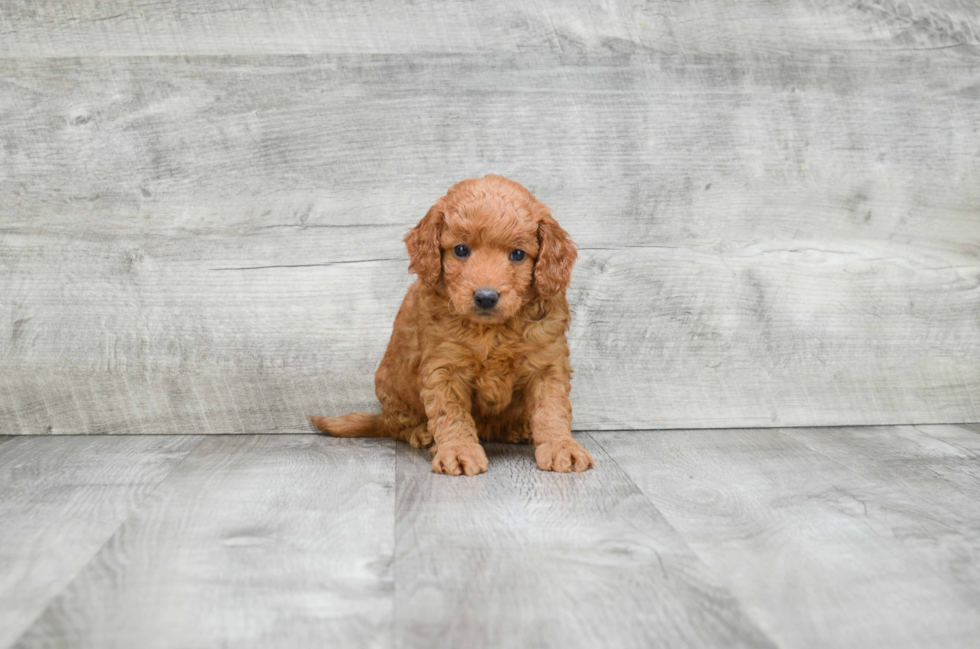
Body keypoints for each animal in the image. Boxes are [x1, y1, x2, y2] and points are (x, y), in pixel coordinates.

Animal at [310, 175, 592, 474]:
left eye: (517, 254)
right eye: (461, 249)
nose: (486, 297)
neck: (492, 331)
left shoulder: (547, 365)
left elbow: (552, 409)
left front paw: (562, 446)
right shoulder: (444, 367)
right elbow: (451, 413)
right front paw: (458, 451)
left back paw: (516, 429)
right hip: (391, 391)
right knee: (399, 425)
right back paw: (421, 433)